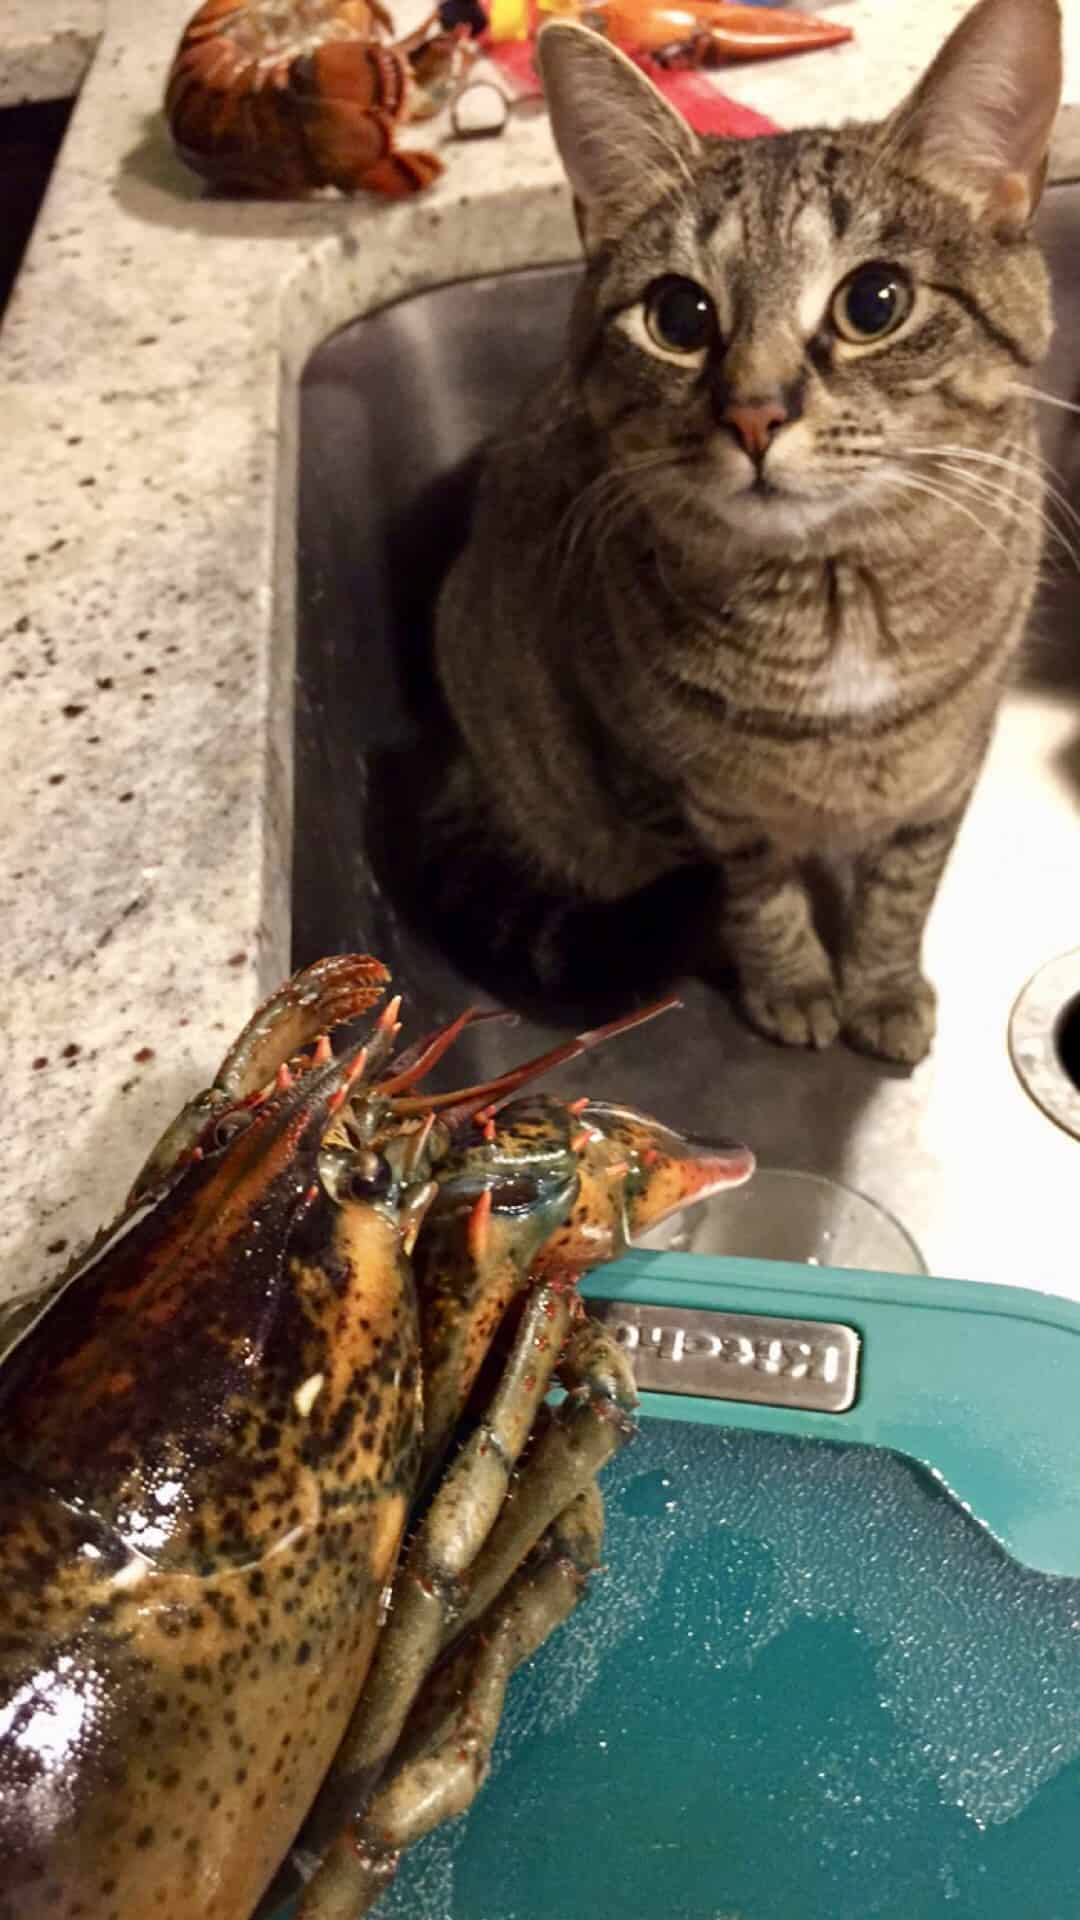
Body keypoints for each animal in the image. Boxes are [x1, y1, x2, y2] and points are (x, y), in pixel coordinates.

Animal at [428, 0, 1060, 1067]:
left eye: (875, 302)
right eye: (679, 315)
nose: (757, 414)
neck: (835, 597)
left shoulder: (950, 768)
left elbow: (903, 887)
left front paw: (882, 989)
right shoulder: (668, 783)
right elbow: (757, 895)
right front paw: (794, 987)